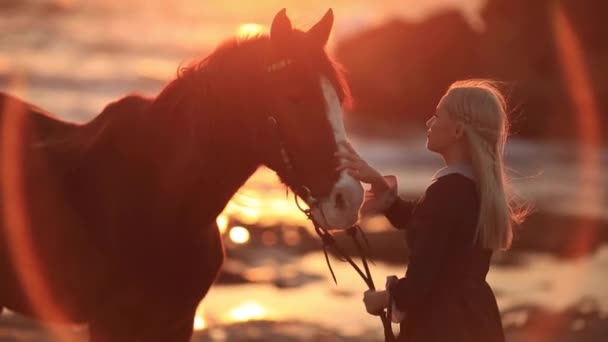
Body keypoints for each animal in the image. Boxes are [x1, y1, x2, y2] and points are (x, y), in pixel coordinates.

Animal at [0, 9, 364, 340]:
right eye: (294, 95)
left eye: (339, 99)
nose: (350, 198)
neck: (160, 196)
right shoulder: (110, 323)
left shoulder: (177, 321)